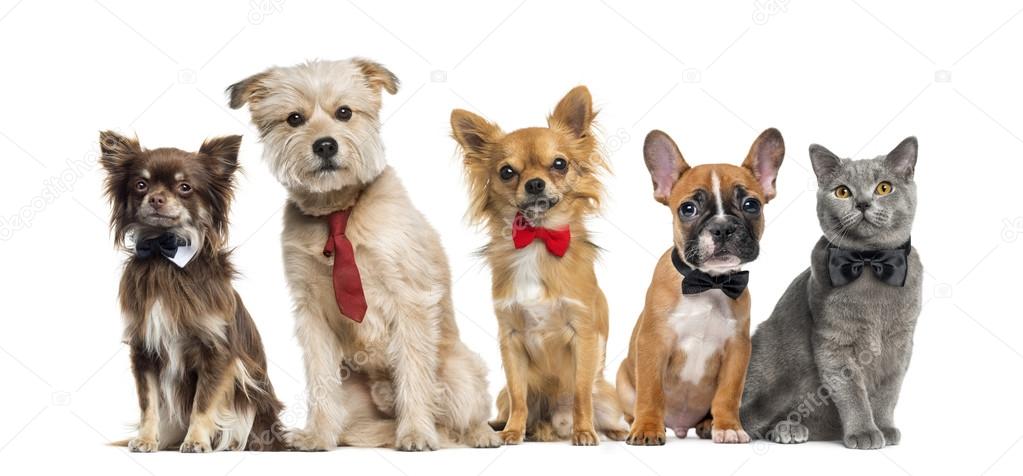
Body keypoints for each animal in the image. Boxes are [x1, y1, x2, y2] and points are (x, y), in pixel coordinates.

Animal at [99, 132, 286, 450]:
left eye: (185, 187)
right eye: (141, 185)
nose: (156, 198)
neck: (165, 257)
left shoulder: (217, 351)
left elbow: (203, 401)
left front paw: (197, 441)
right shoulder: (144, 349)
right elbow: (148, 403)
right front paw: (146, 439)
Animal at [231, 58, 503, 448]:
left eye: (344, 112)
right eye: (294, 118)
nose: (325, 146)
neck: (338, 212)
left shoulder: (410, 301)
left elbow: (414, 374)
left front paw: (416, 432)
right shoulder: (311, 312)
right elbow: (320, 379)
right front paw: (318, 435)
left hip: (460, 371)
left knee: (466, 414)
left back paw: (477, 434)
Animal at [452, 86, 626, 446]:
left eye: (560, 164)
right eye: (507, 172)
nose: (534, 183)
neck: (536, 240)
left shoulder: (583, 334)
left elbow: (581, 394)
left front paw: (584, 432)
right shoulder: (510, 338)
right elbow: (520, 395)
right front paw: (512, 433)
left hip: (606, 393)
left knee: (595, 403)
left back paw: (611, 430)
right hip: (502, 395)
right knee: (513, 403)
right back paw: (513, 427)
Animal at [613, 127, 781, 444]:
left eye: (751, 205)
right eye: (688, 209)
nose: (723, 227)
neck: (709, 283)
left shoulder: (737, 350)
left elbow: (728, 394)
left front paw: (728, 426)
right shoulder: (653, 343)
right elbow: (651, 392)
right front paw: (647, 428)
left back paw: (707, 424)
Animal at [740, 135, 924, 446]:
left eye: (884, 188)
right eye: (842, 192)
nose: (862, 203)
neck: (868, 262)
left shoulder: (900, 343)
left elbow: (888, 392)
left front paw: (885, 428)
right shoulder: (834, 342)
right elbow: (852, 392)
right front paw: (864, 432)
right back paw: (787, 429)